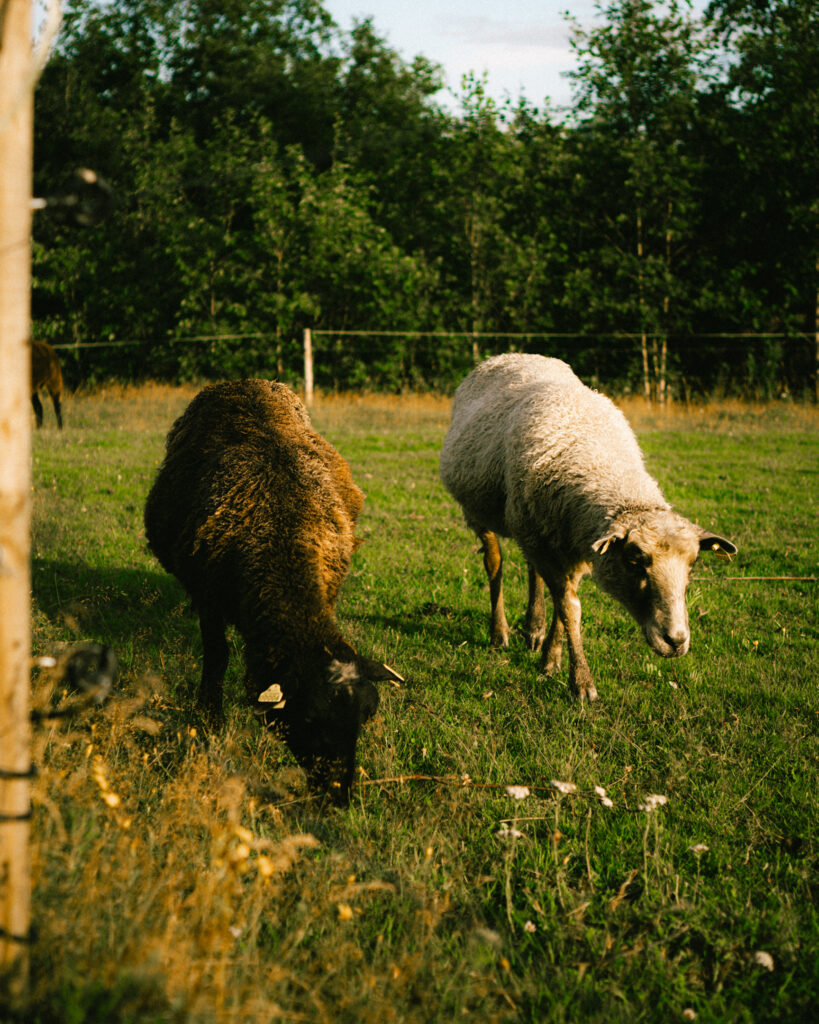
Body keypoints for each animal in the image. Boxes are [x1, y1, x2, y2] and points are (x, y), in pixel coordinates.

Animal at [146, 380, 403, 802]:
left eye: (366, 716)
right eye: (308, 718)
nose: (338, 795)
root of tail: (242, 381)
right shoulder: (209, 596)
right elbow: (217, 656)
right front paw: (209, 717)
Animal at [438, 354, 737, 704]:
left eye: (693, 565)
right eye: (634, 561)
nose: (675, 641)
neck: (600, 464)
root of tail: (512, 355)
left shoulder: (574, 544)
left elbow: (562, 604)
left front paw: (550, 658)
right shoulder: (559, 544)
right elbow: (570, 608)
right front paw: (580, 681)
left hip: (533, 526)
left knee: (531, 569)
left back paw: (534, 628)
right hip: (482, 513)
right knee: (494, 564)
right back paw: (500, 633)